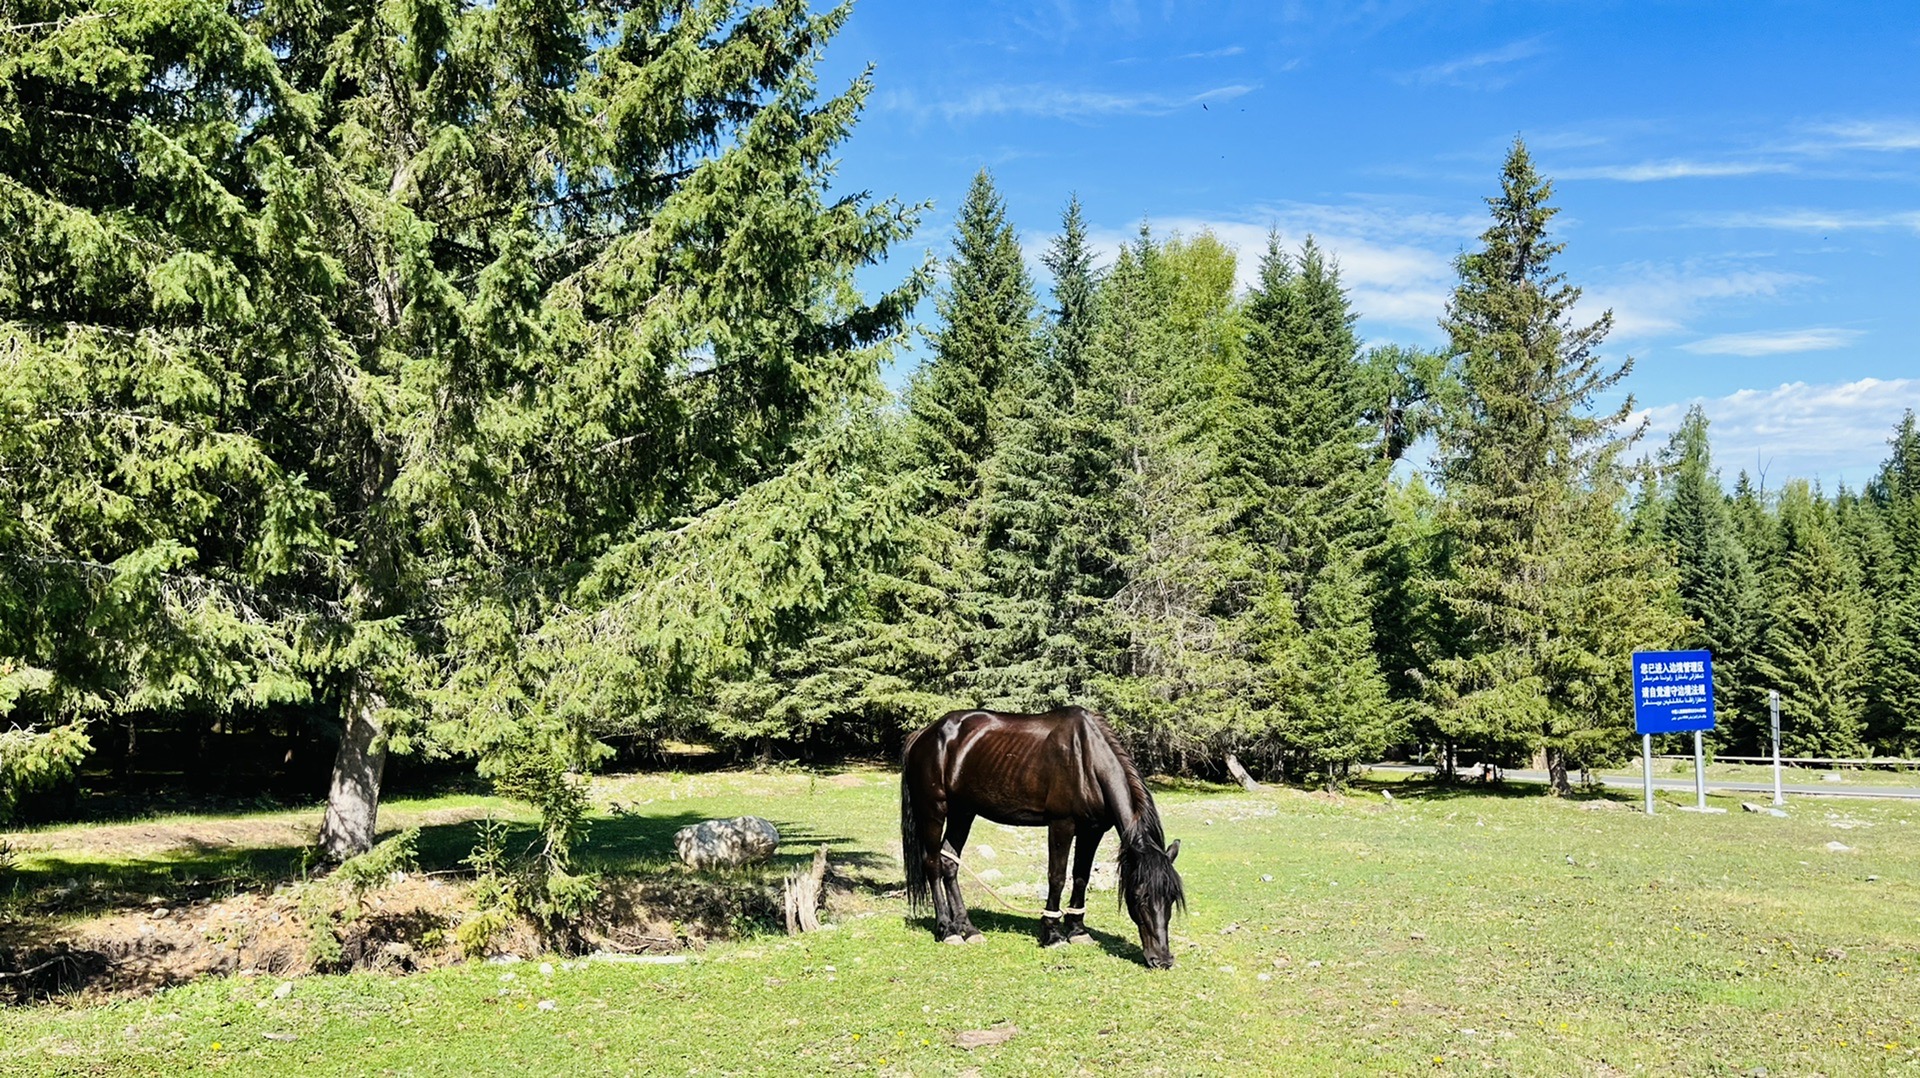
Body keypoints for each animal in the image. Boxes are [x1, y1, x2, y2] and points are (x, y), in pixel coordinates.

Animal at [902, 707, 1182, 968]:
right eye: (1140, 896)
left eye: (1171, 896)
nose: (1162, 960)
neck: (1087, 760)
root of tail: (924, 734)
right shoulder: (1061, 824)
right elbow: (1056, 877)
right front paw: (1053, 934)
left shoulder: (1092, 831)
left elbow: (1081, 877)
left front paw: (1078, 931)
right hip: (934, 810)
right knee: (933, 864)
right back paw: (947, 930)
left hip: (963, 812)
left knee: (950, 862)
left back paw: (968, 929)